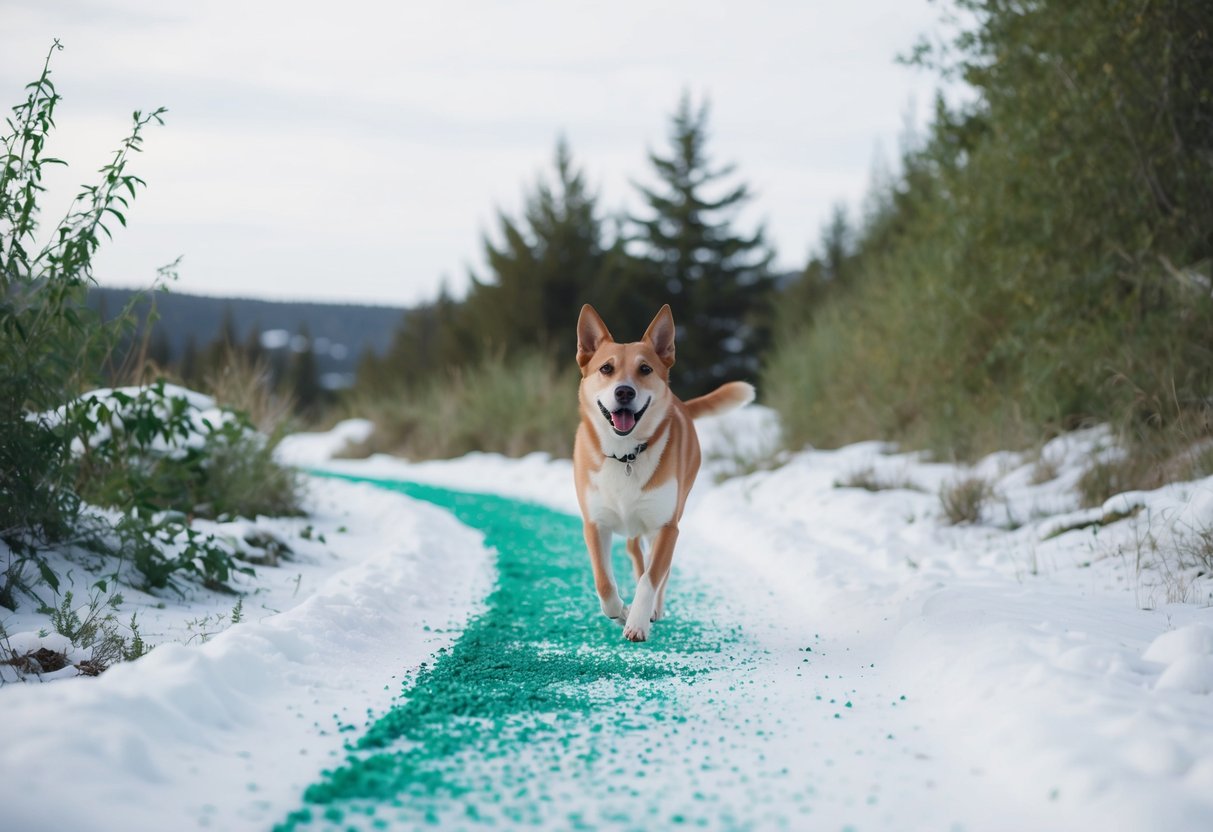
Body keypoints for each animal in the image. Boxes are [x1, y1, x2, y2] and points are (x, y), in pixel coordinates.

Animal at [572, 303, 752, 640]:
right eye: (606, 369)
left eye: (645, 369)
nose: (625, 392)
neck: (625, 455)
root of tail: (681, 404)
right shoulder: (595, 524)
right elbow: (604, 585)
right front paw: (621, 612)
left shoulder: (667, 527)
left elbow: (651, 578)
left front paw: (637, 621)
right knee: (634, 552)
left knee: (656, 571)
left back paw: (652, 610)